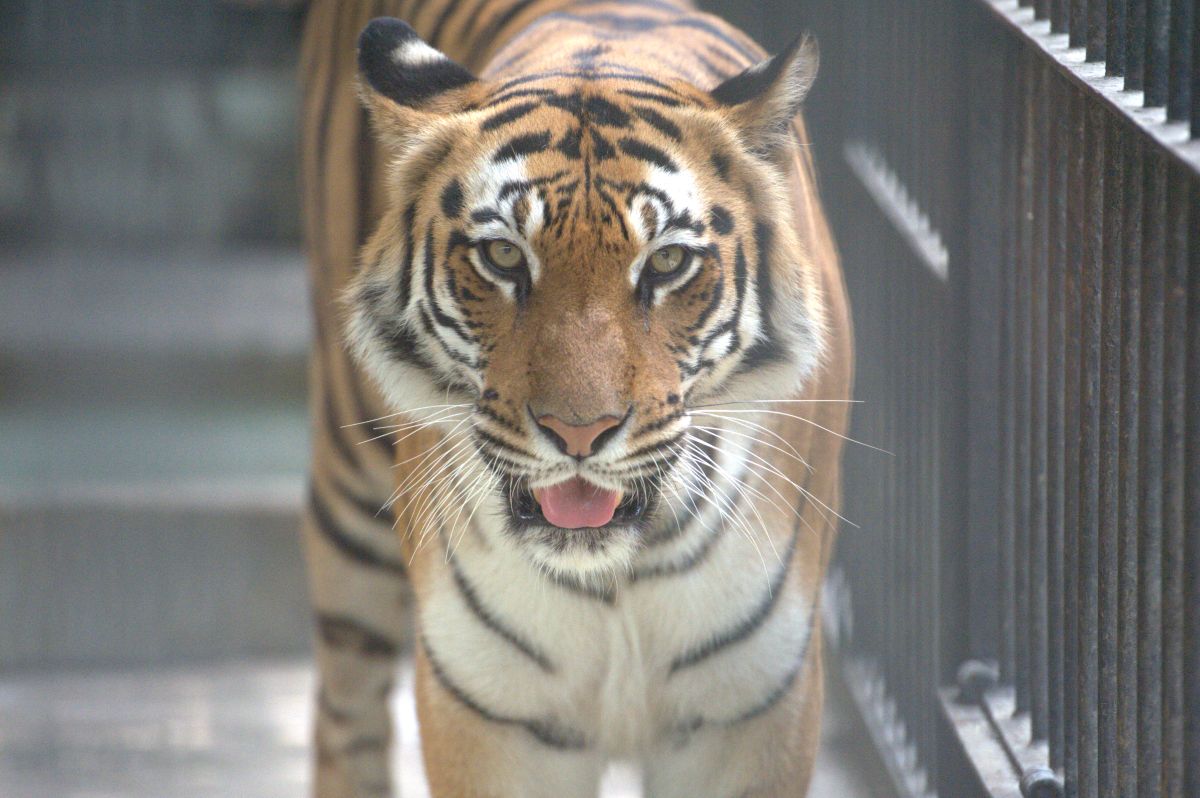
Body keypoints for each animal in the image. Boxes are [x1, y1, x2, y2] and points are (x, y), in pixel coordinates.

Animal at [298, 0, 852, 796]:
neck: (614, 579)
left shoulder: (753, 709)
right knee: (345, 709)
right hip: (349, 494)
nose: (580, 433)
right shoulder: (490, 710)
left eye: (668, 262)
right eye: (503, 256)